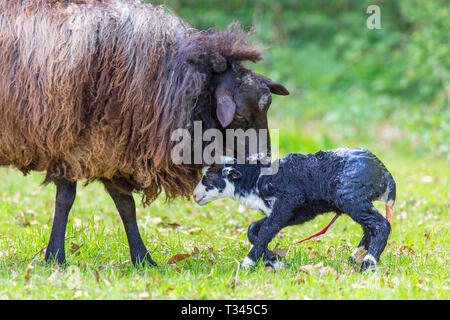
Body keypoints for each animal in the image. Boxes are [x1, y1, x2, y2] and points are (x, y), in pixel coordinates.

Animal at [0, 0, 288, 264]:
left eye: (267, 107)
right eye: (239, 116)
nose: (265, 159)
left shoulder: (108, 145)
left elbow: (125, 205)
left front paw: (143, 259)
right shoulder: (69, 142)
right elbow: (65, 199)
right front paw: (56, 257)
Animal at [193, 149, 398, 272]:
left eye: (208, 177)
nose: (194, 196)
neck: (257, 178)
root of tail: (385, 174)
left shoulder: (287, 202)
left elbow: (266, 231)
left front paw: (248, 263)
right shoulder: (292, 214)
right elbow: (254, 230)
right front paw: (273, 260)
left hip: (349, 197)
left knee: (381, 225)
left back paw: (369, 263)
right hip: (356, 200)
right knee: (369, 228)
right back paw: (356, 256)